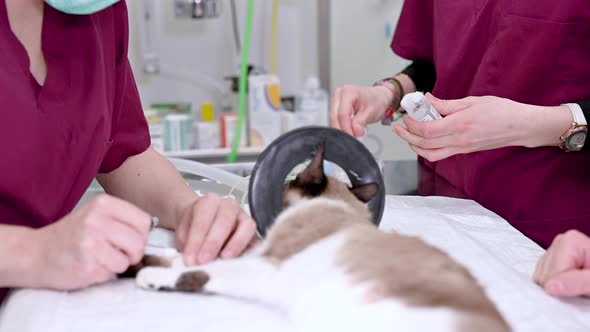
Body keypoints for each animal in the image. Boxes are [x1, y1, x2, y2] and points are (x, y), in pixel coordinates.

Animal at [132, 143, 512, 332]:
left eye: (291, 180)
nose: (283, 183)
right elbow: (182, 261)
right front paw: (139, 262)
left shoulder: (267, 264)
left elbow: (195, 269)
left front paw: (148, 274)